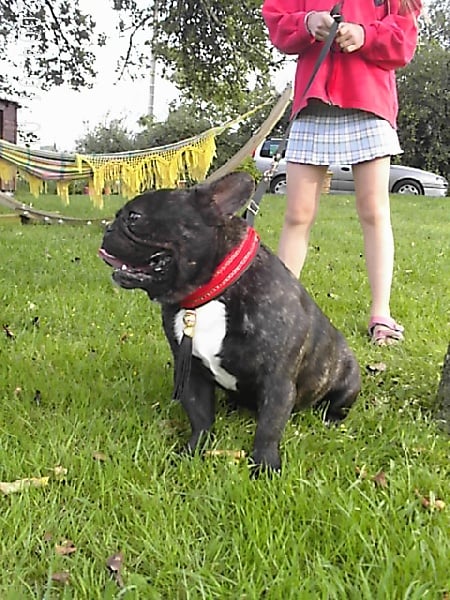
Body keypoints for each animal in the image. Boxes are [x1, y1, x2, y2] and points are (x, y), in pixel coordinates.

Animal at [99, 172, 361, 471]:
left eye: (134, 216)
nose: (108, 229)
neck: (210, 295)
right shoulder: (191, 371)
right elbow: (200, 416)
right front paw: (193, 451)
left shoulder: (277, 380)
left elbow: (269, 427)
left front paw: (265, 465)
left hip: (347, 379)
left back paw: (331, 419)